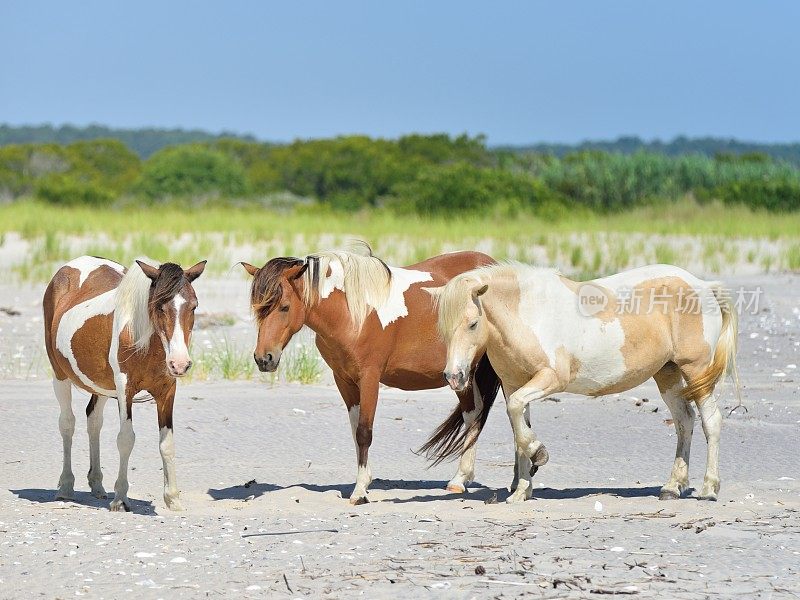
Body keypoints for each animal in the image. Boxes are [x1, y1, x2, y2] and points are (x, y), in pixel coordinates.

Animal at [43, 255, 206, 512]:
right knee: (67, 423)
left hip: (99, 385)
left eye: (194, 306)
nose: (180, 364)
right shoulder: (124, 390)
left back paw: (97, 485)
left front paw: (173, 498)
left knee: (93, 421)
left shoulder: (167, 392)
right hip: (60, 375)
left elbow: (167, 444)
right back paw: (66, 487)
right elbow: (126, 439)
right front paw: (120, 497)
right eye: (159, 306)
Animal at [428, 264, 740, 504]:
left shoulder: (550, 379)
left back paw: (709, 488)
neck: (528, 314)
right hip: (667, 374)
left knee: (711, 421)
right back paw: (673, 487)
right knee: (684, 421)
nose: (453, 376)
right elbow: (519, 429)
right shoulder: (515, 385)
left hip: (696, 371)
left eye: (472, 324)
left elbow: (517, 416)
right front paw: (522, 490)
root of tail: (703, 286)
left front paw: (539, 455)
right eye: (443, 328)